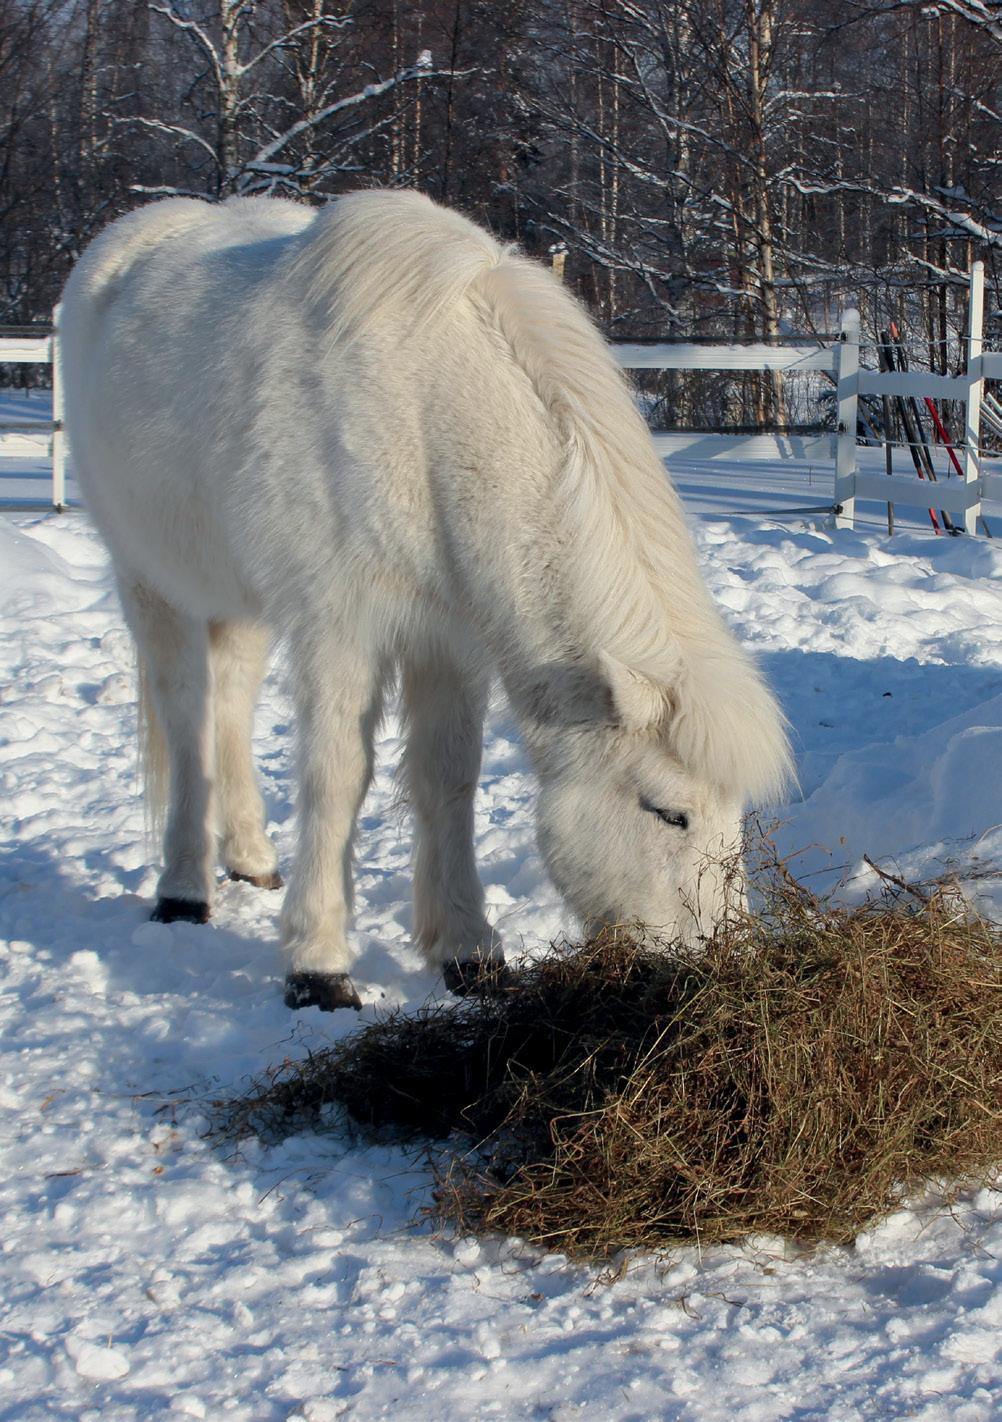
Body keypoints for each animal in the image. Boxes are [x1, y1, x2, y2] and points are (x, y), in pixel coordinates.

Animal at [60, 191, 790, 1012]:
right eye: (670, 812)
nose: (726, 965)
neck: (426, 417)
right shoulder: (340, 631)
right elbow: (337, 780)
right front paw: (318, 964)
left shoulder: (449, 639)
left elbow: (450, 777)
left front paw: (467, 950)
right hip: (151, 583)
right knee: (187, 717)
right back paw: (184, 889)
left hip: (239, 597)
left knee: (230, 707)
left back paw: (249, 857)